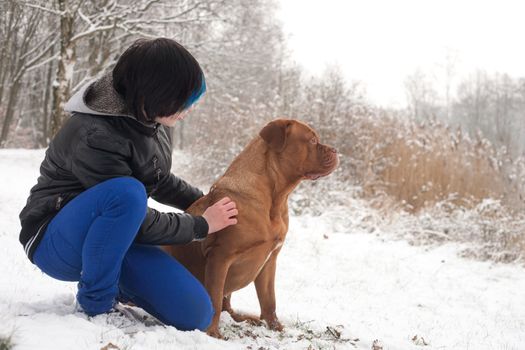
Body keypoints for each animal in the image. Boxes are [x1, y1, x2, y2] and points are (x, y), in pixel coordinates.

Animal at [162, 119, 338, 338]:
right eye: (312, 140)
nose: (336, 150)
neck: (275, 199)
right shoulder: (220, 257)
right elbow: (214, 298)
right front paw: (212, 333)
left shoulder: (270, 260)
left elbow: (269, 301)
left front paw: (276, 328)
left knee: (228, 306)